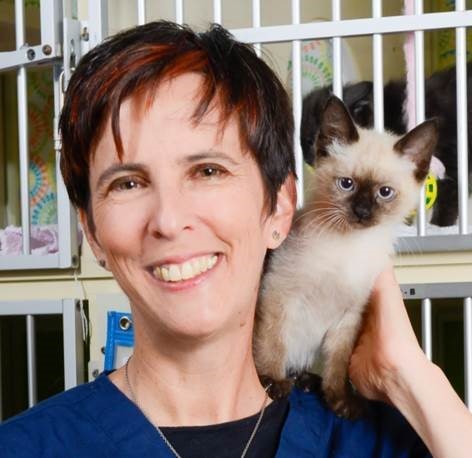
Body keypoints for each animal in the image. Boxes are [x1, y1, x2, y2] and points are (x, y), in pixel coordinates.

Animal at [256, 95, 436, 416]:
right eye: (346, 184)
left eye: (385, 192)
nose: (362, 212)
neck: (348, 246)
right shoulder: (278, 294)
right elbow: (272, 343)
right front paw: (273, 382)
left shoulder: (349, 317)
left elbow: (338, 365)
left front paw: (340, 401)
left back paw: (307, 381)